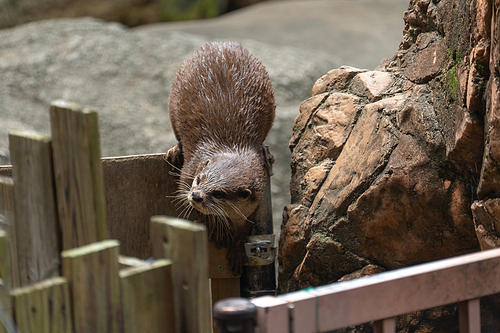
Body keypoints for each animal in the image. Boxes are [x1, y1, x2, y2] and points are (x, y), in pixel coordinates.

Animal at [168, 42, 278, 274]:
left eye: (219, 193)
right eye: (199, 179)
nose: (196, 195)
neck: (231, 146)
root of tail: (219, 44)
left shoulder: (254, 202)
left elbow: (243, 230)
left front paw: (236, 252)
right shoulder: (189, 172)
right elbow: (199, 211)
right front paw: (217, 232)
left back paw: (266, 152)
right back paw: (174, 150)